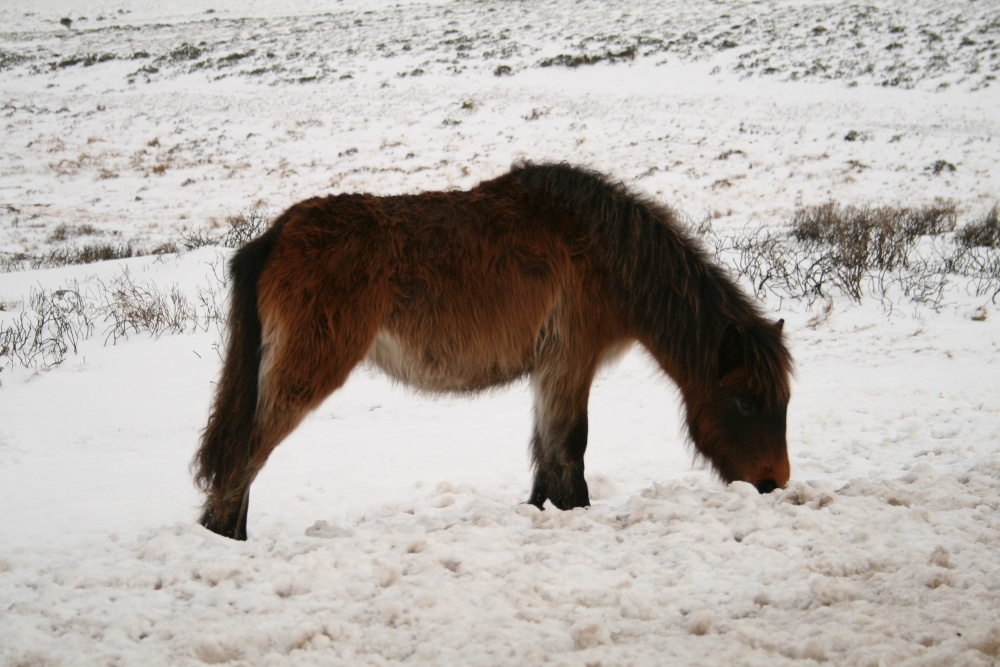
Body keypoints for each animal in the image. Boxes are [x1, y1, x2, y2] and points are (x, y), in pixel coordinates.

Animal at [193, 163, 788, 544]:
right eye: (745, 402)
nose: (774, 483)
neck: (603, 250)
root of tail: (275, 236)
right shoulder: (572, 363)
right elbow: (570, 448)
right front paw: (575, 512)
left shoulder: (551, 369)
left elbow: (547, 454)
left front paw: (543, 512)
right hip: (304, 371)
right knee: (244, 454)